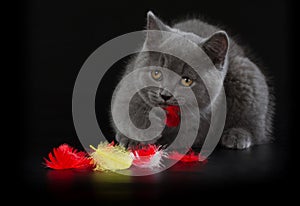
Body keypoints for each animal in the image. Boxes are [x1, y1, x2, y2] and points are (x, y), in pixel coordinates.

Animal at [110, 11, 274, 150]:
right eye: (156, 74)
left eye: (187, 81)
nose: (165, 95)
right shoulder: (128, 84)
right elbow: (128, 108)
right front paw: (134, 138)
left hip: (245, 70)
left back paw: (237, 135)